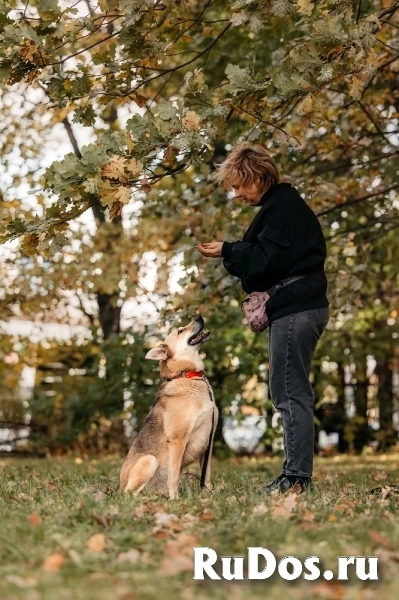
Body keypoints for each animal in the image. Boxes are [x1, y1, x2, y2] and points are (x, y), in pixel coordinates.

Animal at [119, 316, 219, 500]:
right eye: (180, 331)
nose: (199, 317)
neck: (187, 376)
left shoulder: (209, 440)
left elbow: (206, 473)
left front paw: (208, 493)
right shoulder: (178, 440)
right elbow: (174, 475)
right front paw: (175, 498)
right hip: (149, 460)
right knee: (130, 494)